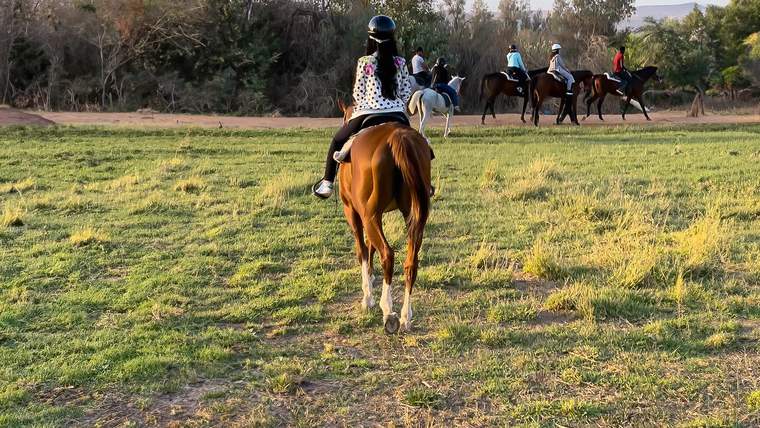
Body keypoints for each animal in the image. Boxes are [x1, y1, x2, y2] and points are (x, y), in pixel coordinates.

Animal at [335, 99, 433, 334]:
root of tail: (398, 137)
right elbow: (370, 247)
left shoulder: (354, 212)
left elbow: (362, 250)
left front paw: (367, 296)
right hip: (413, 216)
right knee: (411, 262)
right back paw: (406, 316)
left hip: (368, 216)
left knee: (387, 254)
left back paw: (388, 311)